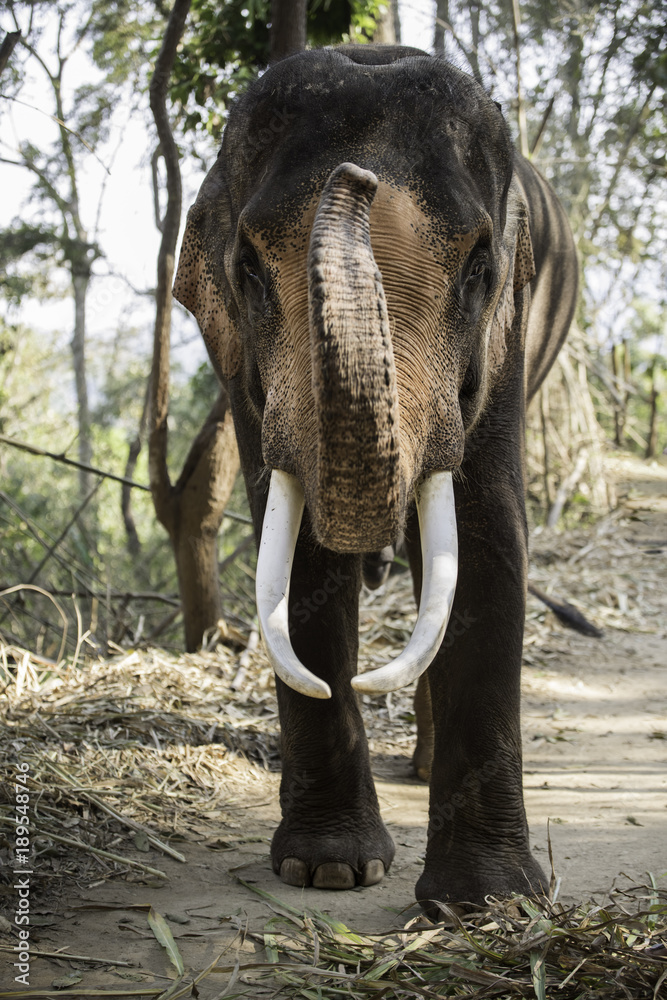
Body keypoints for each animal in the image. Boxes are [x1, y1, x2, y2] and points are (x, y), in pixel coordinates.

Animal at [176, 43, 580, 912]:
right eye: (247, 267)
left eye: (480, 265)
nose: (355, 179)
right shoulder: (244, 371)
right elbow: (297, 558)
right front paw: (329, 870)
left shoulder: (506, 341)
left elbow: (490, 530)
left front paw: (488, 904)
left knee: (439, 558)